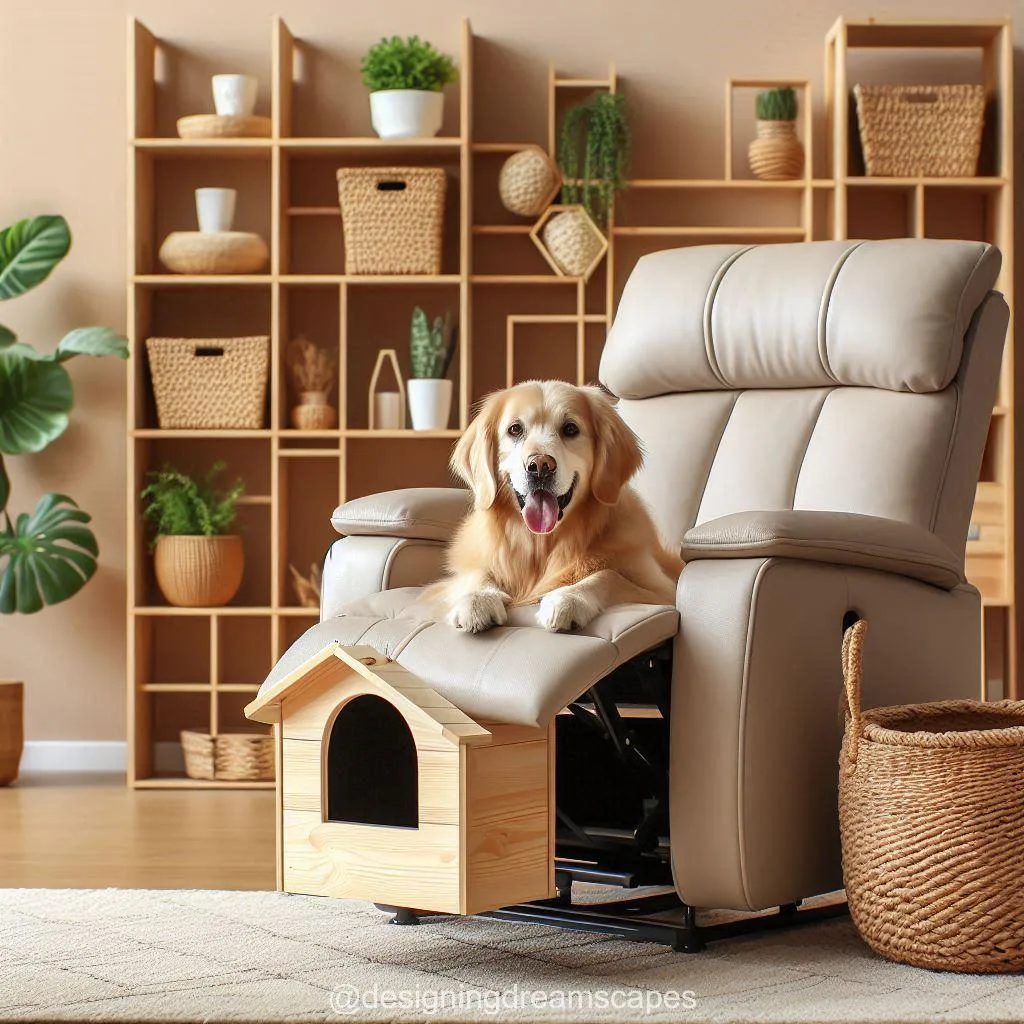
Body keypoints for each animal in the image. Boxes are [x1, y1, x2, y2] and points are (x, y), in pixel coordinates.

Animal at [428, 380, 684, 630]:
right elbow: (476, 574)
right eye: (515, 429)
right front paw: (478, 599)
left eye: (570, 429)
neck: (541, 544)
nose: (540, 466)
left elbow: (608, 575)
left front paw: (568, 599)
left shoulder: (662, 590)